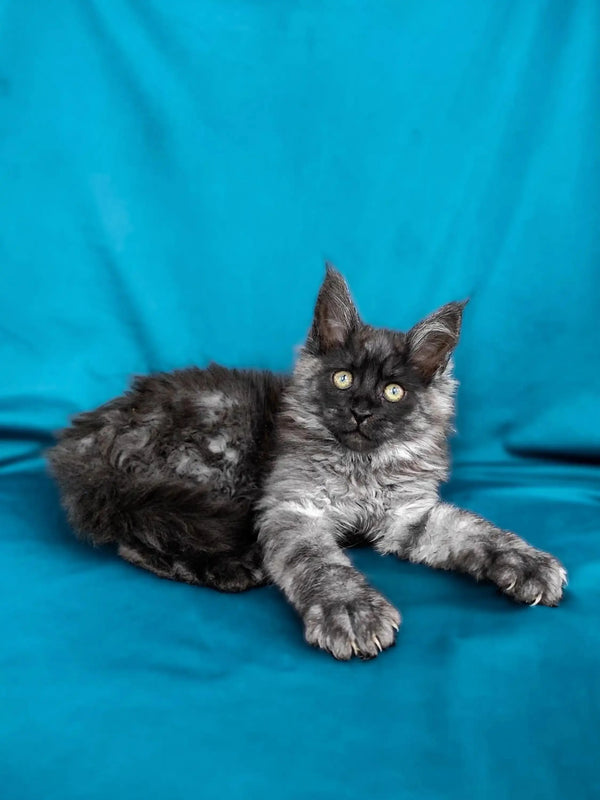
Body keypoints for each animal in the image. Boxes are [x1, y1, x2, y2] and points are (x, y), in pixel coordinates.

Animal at [48, 266, 568, 660]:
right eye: (342, 379)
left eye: (393, 391)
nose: (361, 410)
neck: (362, 466)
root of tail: (90, 431)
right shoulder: (293, 509)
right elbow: (322, 565)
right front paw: (352, 612)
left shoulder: (408, 515)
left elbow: (476, 530)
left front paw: (529, 565)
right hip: (211, 463)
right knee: (138, 538)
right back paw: (233, 567)